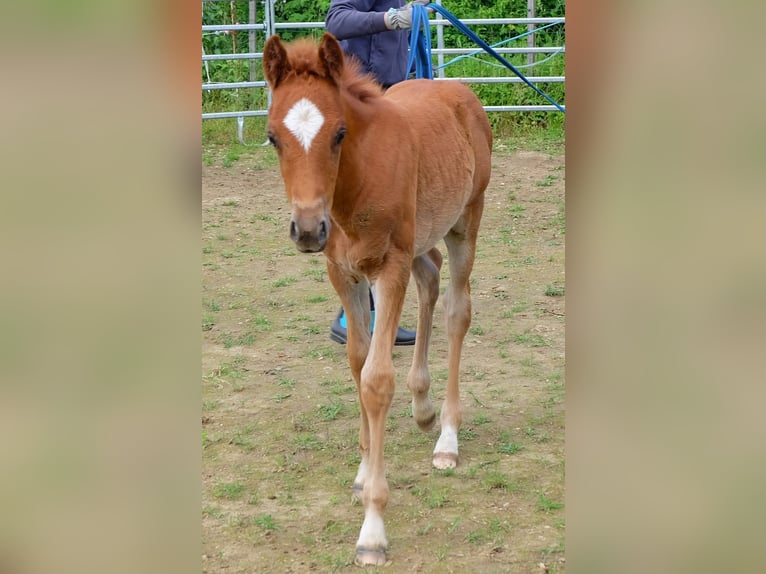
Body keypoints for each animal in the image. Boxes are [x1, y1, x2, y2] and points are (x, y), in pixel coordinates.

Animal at [262, 32, 492, 567]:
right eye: (272, 136)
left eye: (340, 133)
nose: (308, 229)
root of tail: (458, 91)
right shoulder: (342, 272)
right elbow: (357, 359)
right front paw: (364, 472)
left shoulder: (388, 268)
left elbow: (376, 379)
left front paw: (373, 529)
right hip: (421, 239)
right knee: (430, 280)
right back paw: (423, 405)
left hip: (463, 223)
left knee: (457, 310)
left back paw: (447, 437)